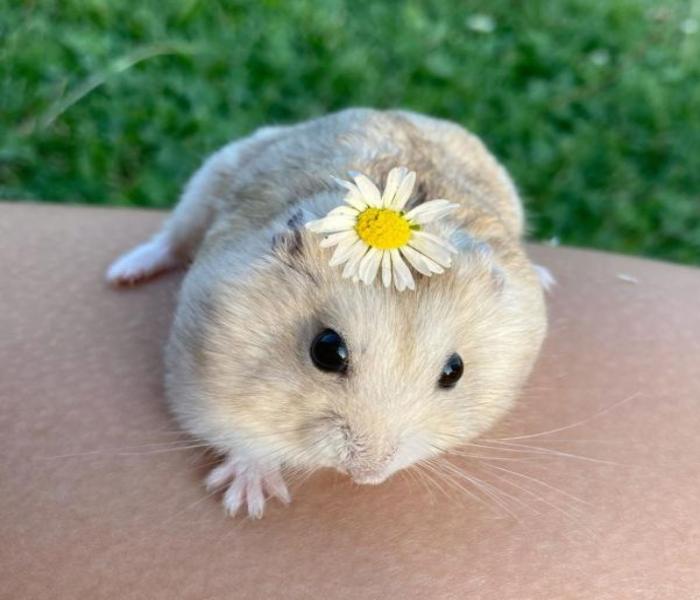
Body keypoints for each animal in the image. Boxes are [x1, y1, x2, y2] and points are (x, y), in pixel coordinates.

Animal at [107, 108, 548, 518]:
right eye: (326, 351)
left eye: (454, 372)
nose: (367, 475)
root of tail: (390, 110)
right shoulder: (199, 376)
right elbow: (240, 434)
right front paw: (247, 503)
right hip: (208, 180)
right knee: (172, 239)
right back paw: (122, 273)